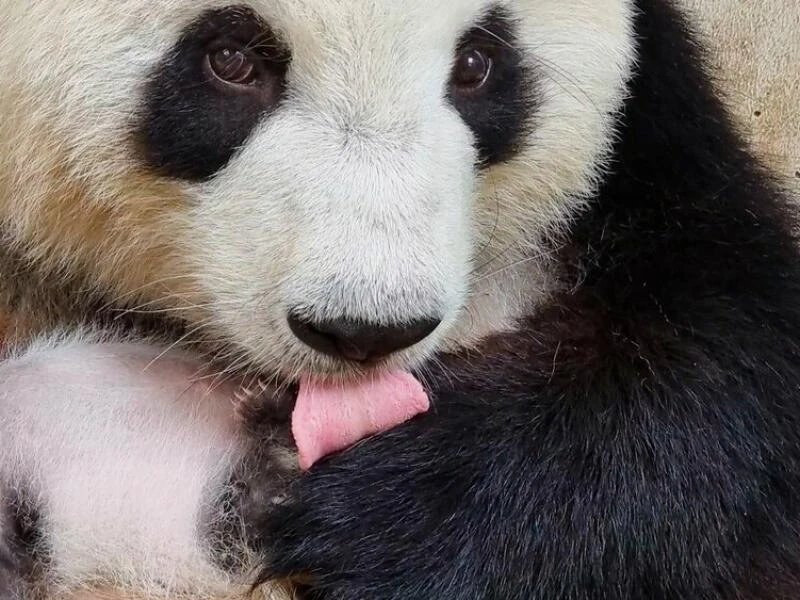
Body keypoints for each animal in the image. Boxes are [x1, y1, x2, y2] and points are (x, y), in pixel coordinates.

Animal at [1, 0, 800, 596]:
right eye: (231, 58)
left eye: (477, 63)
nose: (365, 330)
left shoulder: (652, 142)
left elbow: (716, 345)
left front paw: (385, 512)